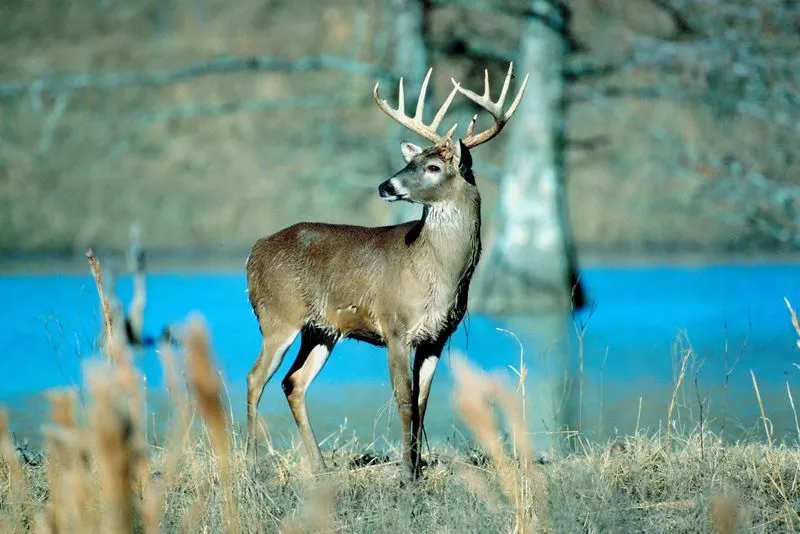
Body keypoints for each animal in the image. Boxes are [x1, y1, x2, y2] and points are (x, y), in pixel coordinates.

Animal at [247, 62, 528, 482]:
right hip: (278, 316)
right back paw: (248, 464)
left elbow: (423, 400)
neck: (437, 273)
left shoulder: (436, 337)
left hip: (321, 330)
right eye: (411, 163)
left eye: (433, 166)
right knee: (255, 378)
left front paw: (417, 467)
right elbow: (404, 399)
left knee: (293, 382)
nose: (385, 185)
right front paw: (407, 475)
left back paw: (320, 467)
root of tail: (253, 253)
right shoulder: (394, 326)